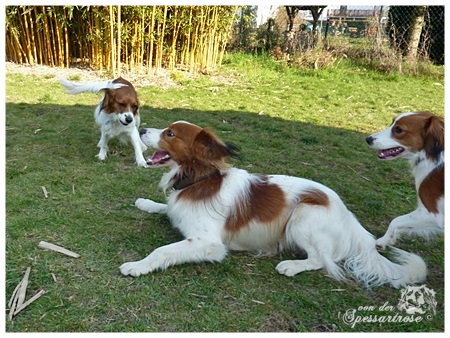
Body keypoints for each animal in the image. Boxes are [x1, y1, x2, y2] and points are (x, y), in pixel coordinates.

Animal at [120, 121, 428, 288]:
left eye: (170, 134)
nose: (142, 128)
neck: (199, 180)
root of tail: (350, 221)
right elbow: (165, 207)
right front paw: (146, 202)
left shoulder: (208, 243)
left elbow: (162, 251)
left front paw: (137, 265)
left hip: (303, 214)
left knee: (321, 260)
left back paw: (291, 266)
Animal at [368, 112, 444, 247]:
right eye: (391, 123)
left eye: (398, 129)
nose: (368, 139)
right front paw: (389, 239)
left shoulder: (433, 214)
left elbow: (395, 220)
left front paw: (382, 240)